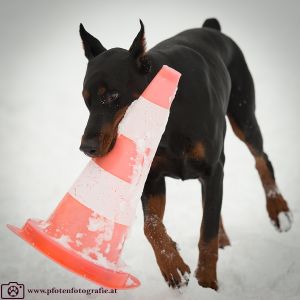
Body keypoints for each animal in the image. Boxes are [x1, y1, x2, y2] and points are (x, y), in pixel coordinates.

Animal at [78, 18, 292, 290]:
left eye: (113, 95)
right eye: (86, 99)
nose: (87, 147)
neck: (169, 116)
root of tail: (211, 28)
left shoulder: (212, 169)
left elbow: (207, 236)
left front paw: (207, 282)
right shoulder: (153, 177)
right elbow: (151, 226)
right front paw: (174, 267)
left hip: (243, 114)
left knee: (261, 159)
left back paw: (278, 208)